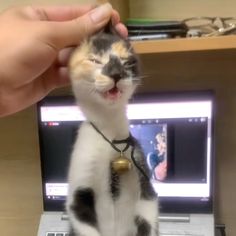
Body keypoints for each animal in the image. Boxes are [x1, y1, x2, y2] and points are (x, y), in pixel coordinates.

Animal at [66, 26, 159, 235]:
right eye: (95, 60)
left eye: (126, 61)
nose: (116, 73)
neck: (108, 134)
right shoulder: (78, 194)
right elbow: (83, 220)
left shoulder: (145, 184)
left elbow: (148, 217)